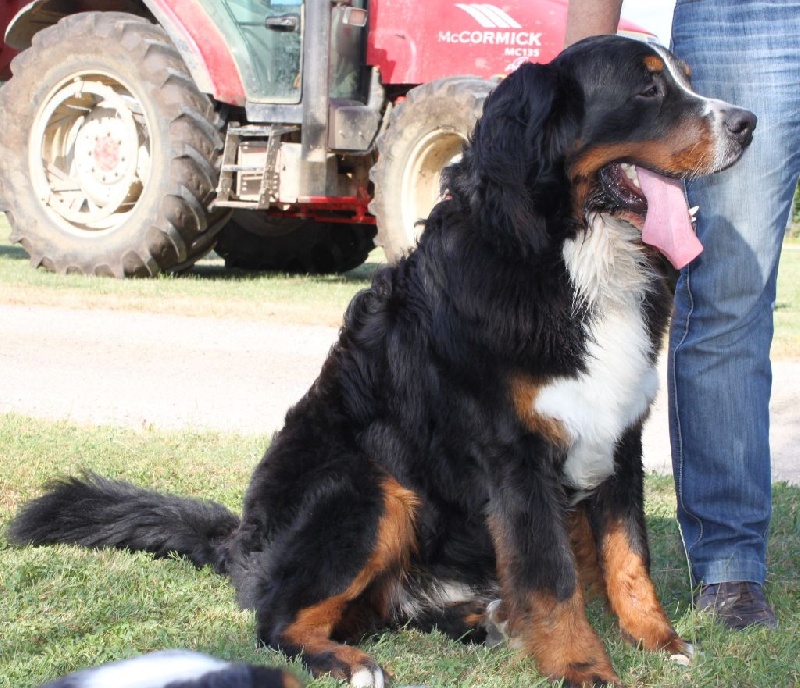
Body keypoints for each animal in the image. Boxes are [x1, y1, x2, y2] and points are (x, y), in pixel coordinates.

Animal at [9, 36, 752, 688]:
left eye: (685, 79)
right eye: (648, 89)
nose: (747, 124)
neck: (570, 261)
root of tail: (242, 541)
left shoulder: (618, 436)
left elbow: (629, 559)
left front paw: (660, 641)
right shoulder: (515, 456)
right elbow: (552, 579)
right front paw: (584, 667)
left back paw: (487, 617)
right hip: (369, 486)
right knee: (279, 619)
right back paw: (351, 661)